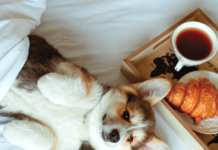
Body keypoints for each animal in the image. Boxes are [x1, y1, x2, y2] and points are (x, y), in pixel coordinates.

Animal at [0, 35, 172, 150]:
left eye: (130, 139)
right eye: (126, 115)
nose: (115, 136)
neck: (86, 124)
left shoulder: (63, 144)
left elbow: (48, 138)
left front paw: (12, 130)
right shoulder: (77, 74)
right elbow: (83, 92)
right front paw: (46, 83)